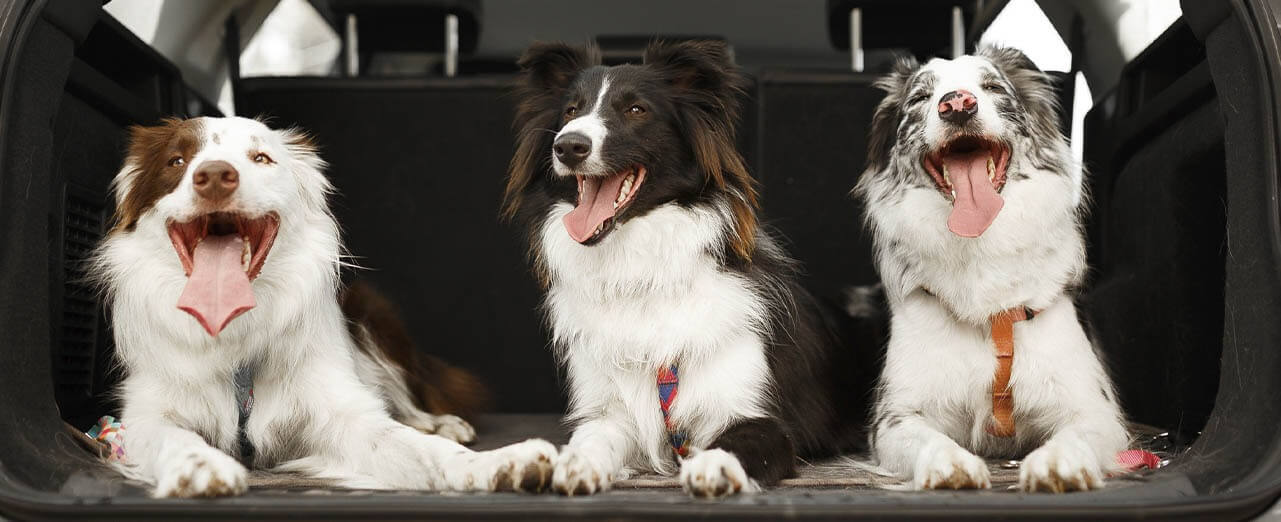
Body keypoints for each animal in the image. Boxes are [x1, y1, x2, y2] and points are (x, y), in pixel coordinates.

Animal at [90, 116, 550, 497]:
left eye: (261, 158)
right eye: (177, 160)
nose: (215, 176)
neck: (236, 335)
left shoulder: (339, 411)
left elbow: (419, 447)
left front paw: (499, 463)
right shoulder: (147, 412)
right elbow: (172, 434)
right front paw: (199, 465)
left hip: (373, 315)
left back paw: (441, 421)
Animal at [504, 42, 865, 497]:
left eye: (636, 110)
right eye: (571, 110)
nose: (568, 146)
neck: (641, 273)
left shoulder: (759, 417)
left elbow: (735, 442)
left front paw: (712, 468)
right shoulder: (610, 411)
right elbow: (593, 437)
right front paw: (576, 464)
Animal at [855, 47, 1127, 492]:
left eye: (993, 86)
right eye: (920, 98)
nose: (957, 104)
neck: (980, 251)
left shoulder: (1096, 409)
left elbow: (1077, 433)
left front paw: (1058, 462)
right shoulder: (896, 417)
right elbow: (926, 437)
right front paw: (948, 463)